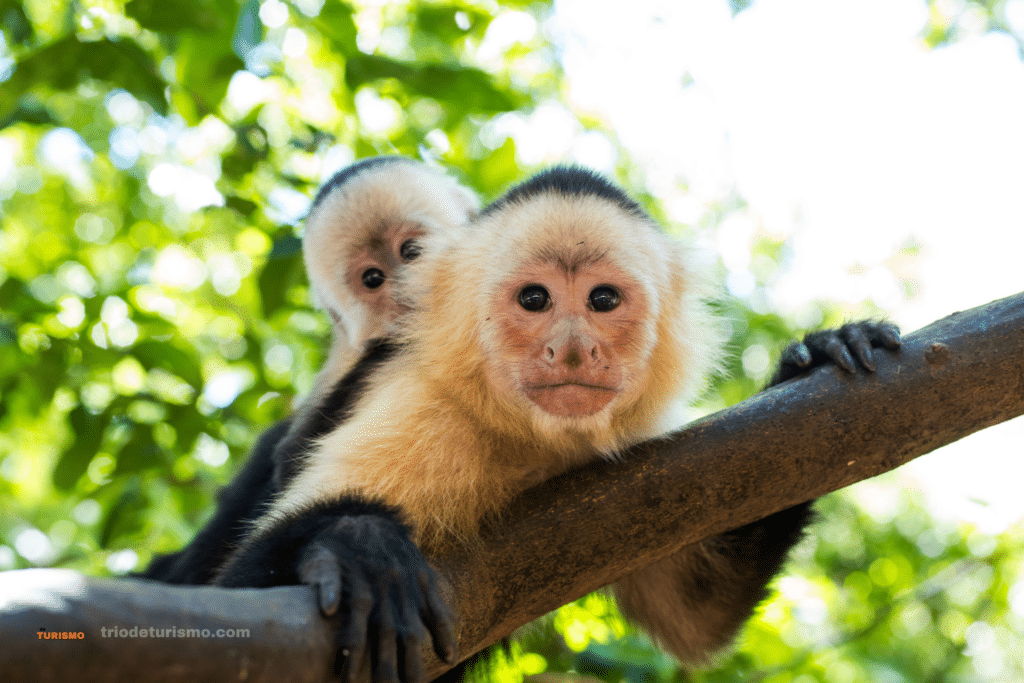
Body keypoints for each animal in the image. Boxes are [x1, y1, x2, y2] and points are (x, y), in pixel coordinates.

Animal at [214, 166, 897, 683]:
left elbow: (696, 613)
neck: (533, 439)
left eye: (603, 300)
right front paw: (354, 545)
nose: (571, 351)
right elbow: (237, 595)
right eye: (534, 299)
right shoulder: (421, 404)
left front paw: (816, 355)